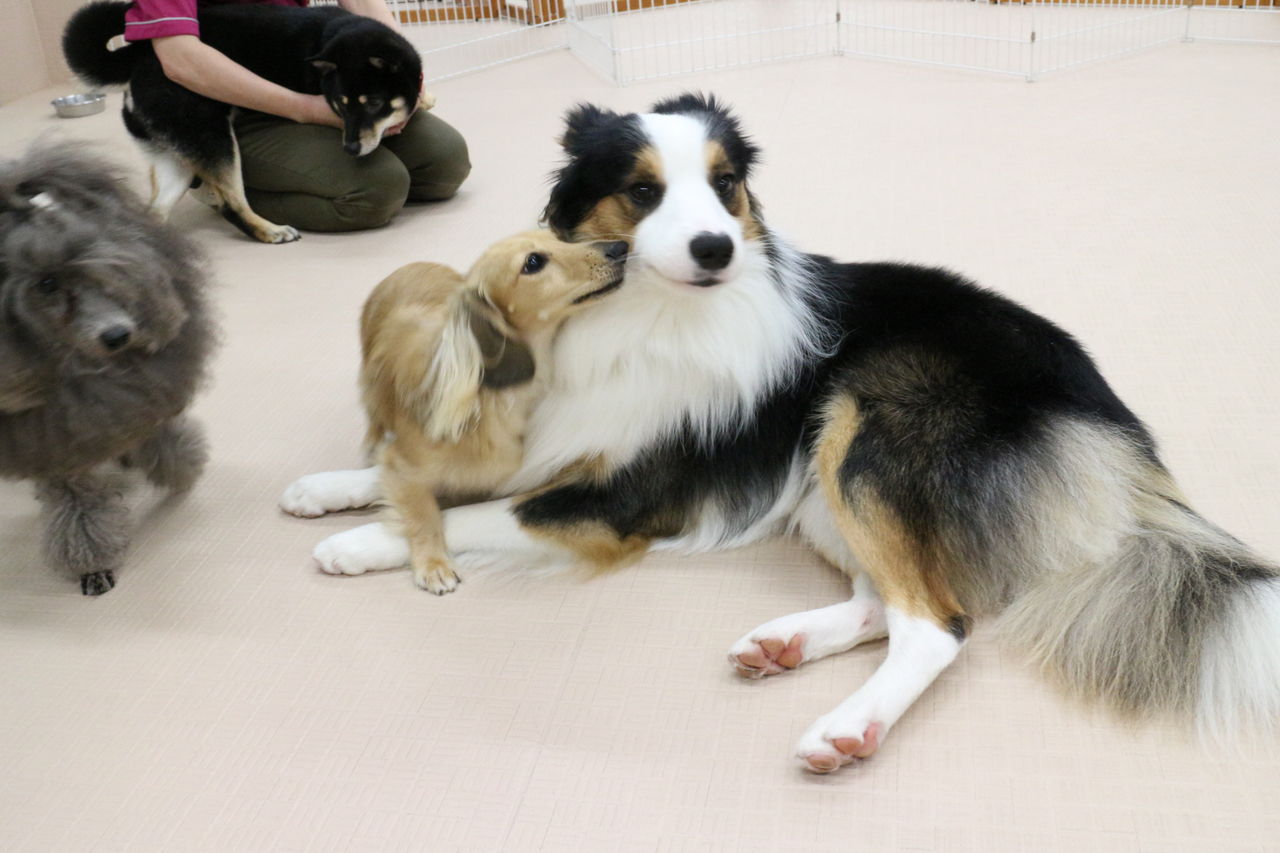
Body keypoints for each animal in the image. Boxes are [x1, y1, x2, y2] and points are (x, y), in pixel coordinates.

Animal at [0, 142, 215, 595]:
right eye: (46, 285)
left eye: (104, 265)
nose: (118, 335)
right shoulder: (54, 443)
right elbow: (77, 510)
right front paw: (92, 567)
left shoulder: (140, 397)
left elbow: (158, 436)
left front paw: (179, 467)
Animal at [62, 1, 426, 244]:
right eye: (339, 105)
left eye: (374, 103)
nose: (350, 148)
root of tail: (139, 60)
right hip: (212, 137)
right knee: (231, 203)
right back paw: (270, 229)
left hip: (175, 158)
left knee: (154, 211)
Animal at [281, 231, 627, 594]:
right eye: (533, 262)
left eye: (558, 239)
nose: (620, 247)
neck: (493, 397)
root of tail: (411, 264)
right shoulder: (407, 467)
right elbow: (423, 514)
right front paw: (433, 563)